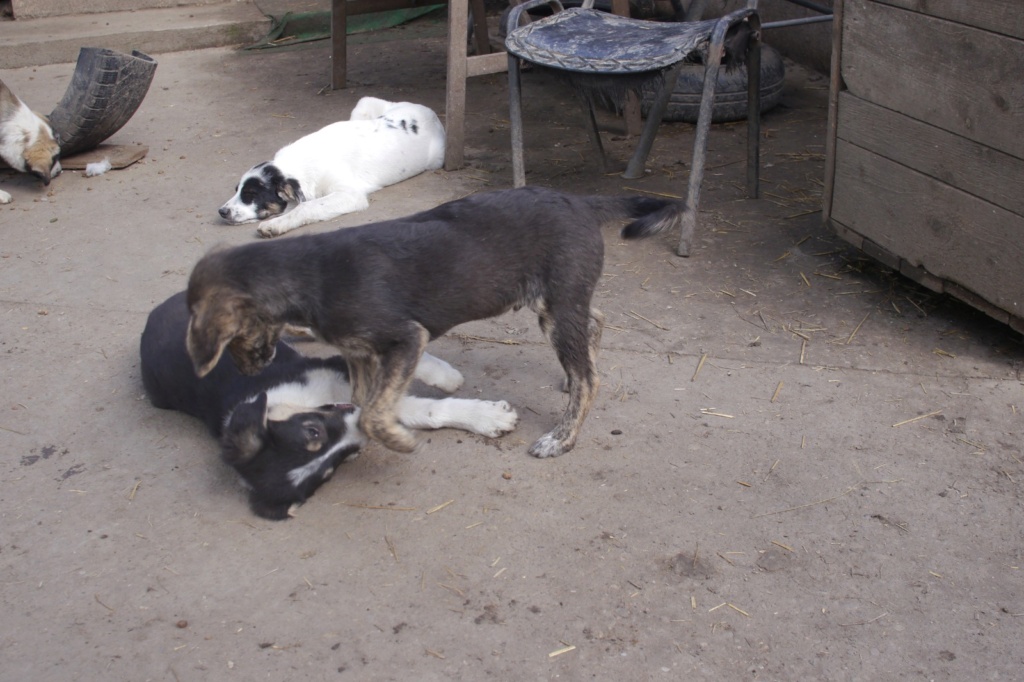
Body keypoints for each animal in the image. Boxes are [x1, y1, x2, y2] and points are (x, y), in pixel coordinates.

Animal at [140, 288, 516, 518]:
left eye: (312, 430)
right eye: (333, 469)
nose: (361, 439)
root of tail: (152, 314)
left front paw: (446, 376)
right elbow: (425, 410)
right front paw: (488, 418)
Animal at [186, 187, 679, 456]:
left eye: (227, 339)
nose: (250, 373)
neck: (308, 274)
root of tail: (580, 202)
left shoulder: (406, 338)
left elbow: (373, 414)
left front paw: (399, 440)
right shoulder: (362, 354)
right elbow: (365, 404)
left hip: (557, 305)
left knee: (589, 378)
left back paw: (562, 437)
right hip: (558, 302)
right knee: (594, 323)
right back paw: (570, 375)